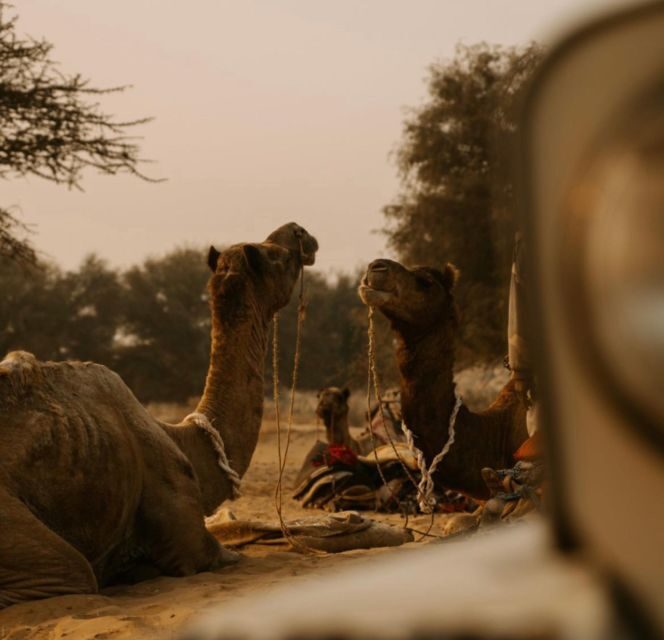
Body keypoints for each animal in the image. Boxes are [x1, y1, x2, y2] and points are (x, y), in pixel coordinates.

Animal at [0, 222, 318, 609]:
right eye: (277, 255)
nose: (298, 231)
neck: (186, 440)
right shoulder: (189, 535)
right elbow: (217, 555)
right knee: (71, 572)